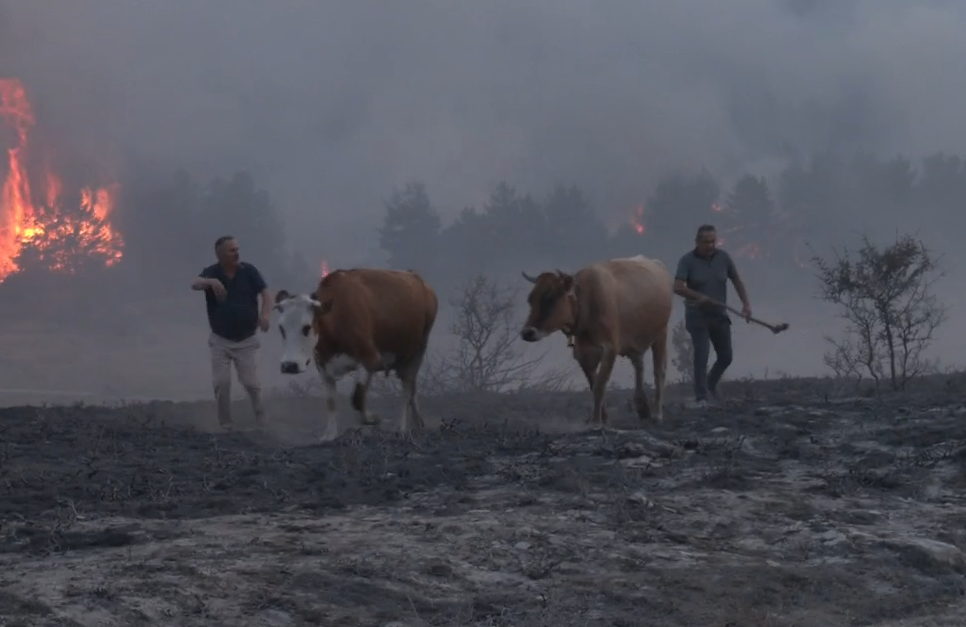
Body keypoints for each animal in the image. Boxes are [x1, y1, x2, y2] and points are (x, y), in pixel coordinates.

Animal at [272, 270, 438, 442]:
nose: (289, 365)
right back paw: (417, 422)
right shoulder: (323, 365)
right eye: (281, 328)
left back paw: (400, 427)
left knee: (407, 386)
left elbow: (357, 398)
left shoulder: (370, 359)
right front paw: (330, 434)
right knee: (412, 387)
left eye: (307, 327)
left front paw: (373, 418)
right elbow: (331, 401)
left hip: (418, 350)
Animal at [520, 255, 672, 426]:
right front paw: (603, 418)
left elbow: (600, 384)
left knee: (659, 371)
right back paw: (642, 407)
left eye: (550, 299)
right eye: (530, 300)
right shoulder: (583, 353)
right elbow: (594, 385)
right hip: (635, 341)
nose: (527, 333)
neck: (586, 304)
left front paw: (596, 422)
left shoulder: (610, 348)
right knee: (639, 366)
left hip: (661, 334)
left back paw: (657, 414)